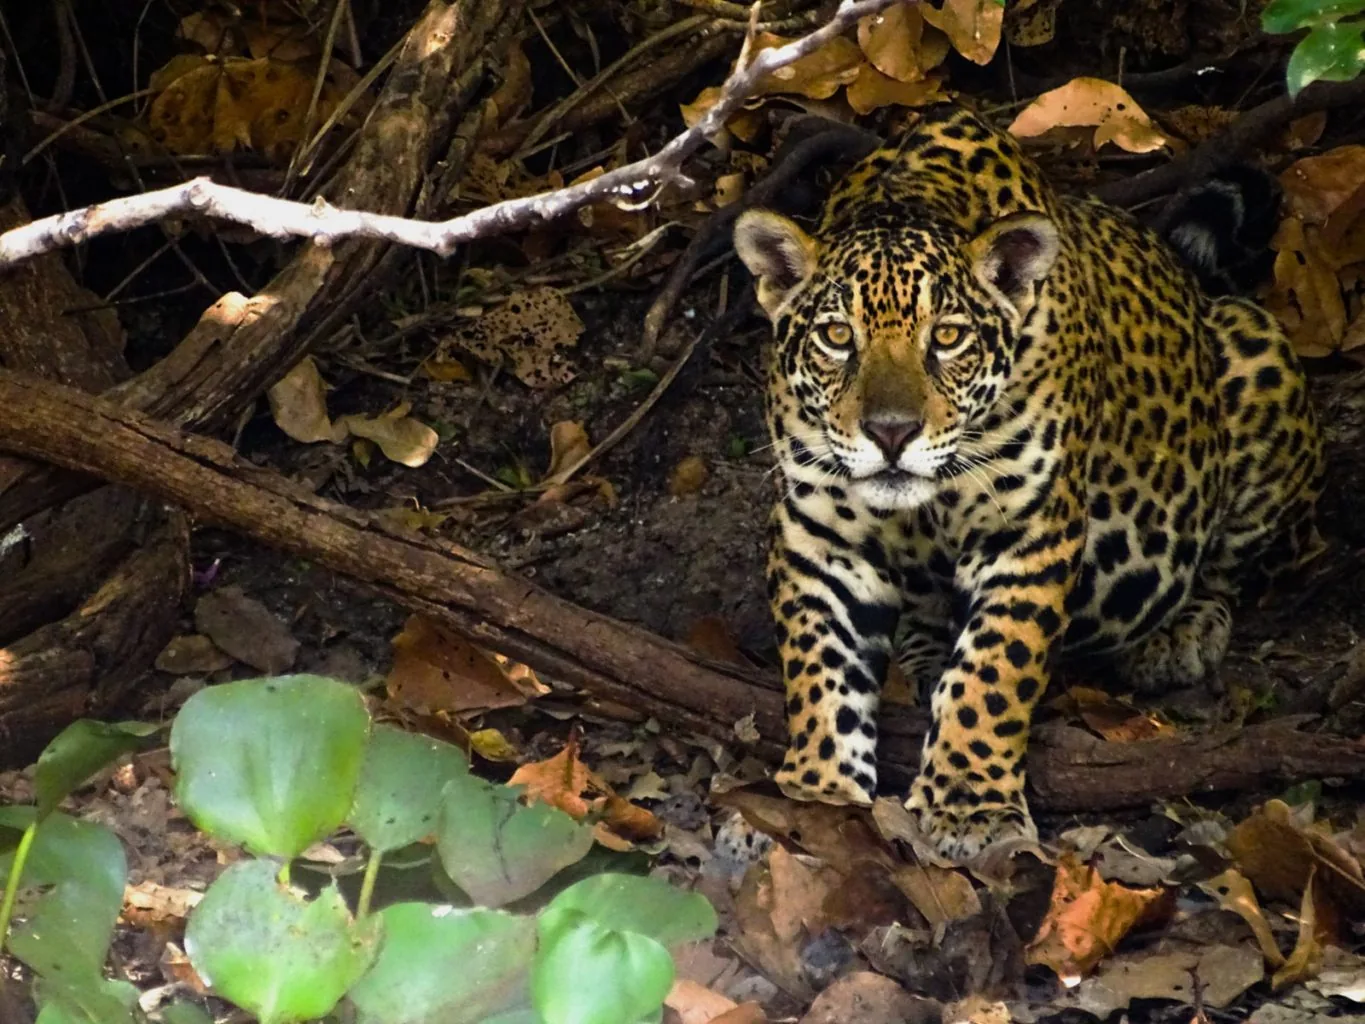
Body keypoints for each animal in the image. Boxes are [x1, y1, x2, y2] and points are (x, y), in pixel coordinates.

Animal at [733, 103, 1325, 861]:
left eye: (948, 337)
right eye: (836, 337)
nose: (891, 433)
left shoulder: (1026, 532)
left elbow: (993, 669)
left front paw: (969, 805)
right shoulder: (820, 535)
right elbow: (819, 667)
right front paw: (815, 793)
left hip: (1256, 353)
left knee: (1238, 562)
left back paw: (1178, 631)